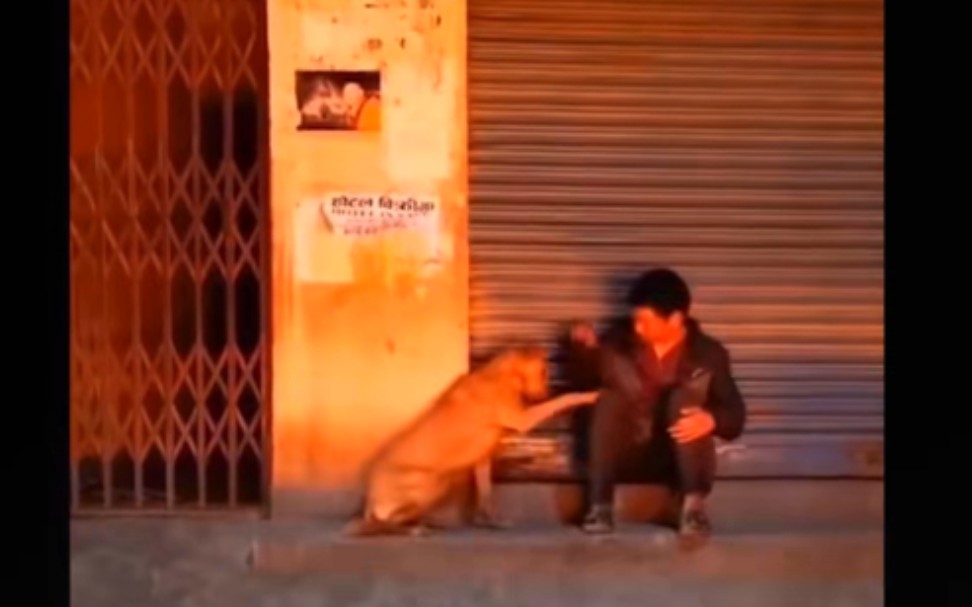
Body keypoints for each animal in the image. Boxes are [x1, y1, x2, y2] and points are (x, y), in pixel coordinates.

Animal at [342, 346, 600, 536]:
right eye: (545, 371)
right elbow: (563, 400)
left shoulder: (482, 460)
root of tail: (370, 497)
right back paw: (410, 528)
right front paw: (588, 395)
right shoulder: (523, 420)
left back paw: (426, 523)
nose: (547, 393)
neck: (504, 376)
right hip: (432, 484)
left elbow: (486, 495)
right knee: (382, 522)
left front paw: (491, 522)